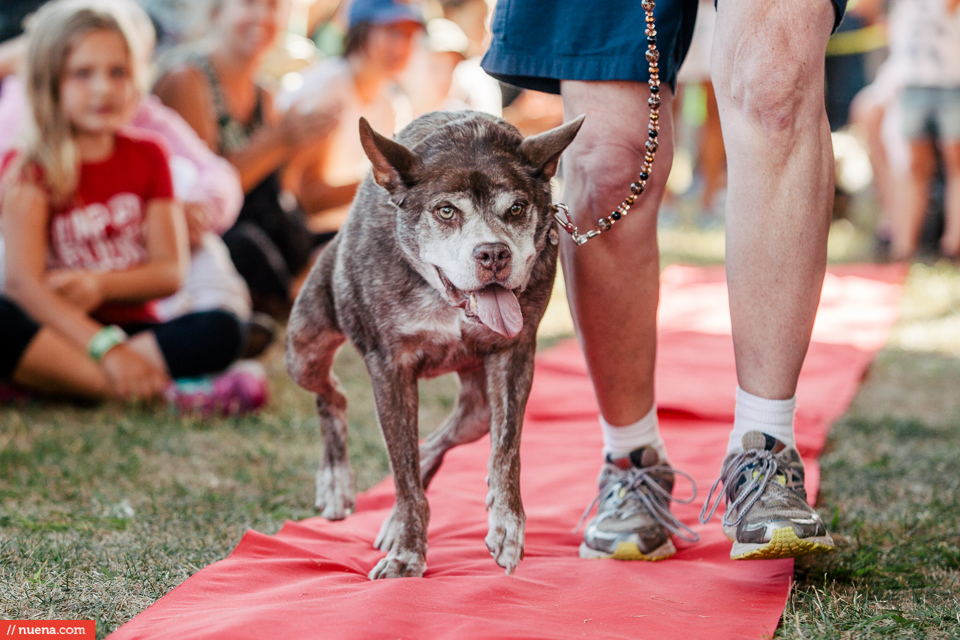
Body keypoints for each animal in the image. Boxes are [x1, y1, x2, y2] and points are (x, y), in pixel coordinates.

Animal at [284, 110, 584, 580]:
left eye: (516, 208)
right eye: (446, 210)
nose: (493, 253)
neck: (446, 300)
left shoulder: (515, 355)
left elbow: (506, 448)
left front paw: (506, 524)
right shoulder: (389, 368)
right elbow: (404, 475)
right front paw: (408, 554)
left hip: (477, 406)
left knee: (440, 438)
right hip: (304, 345)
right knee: (332, 394)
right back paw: (335, 482)